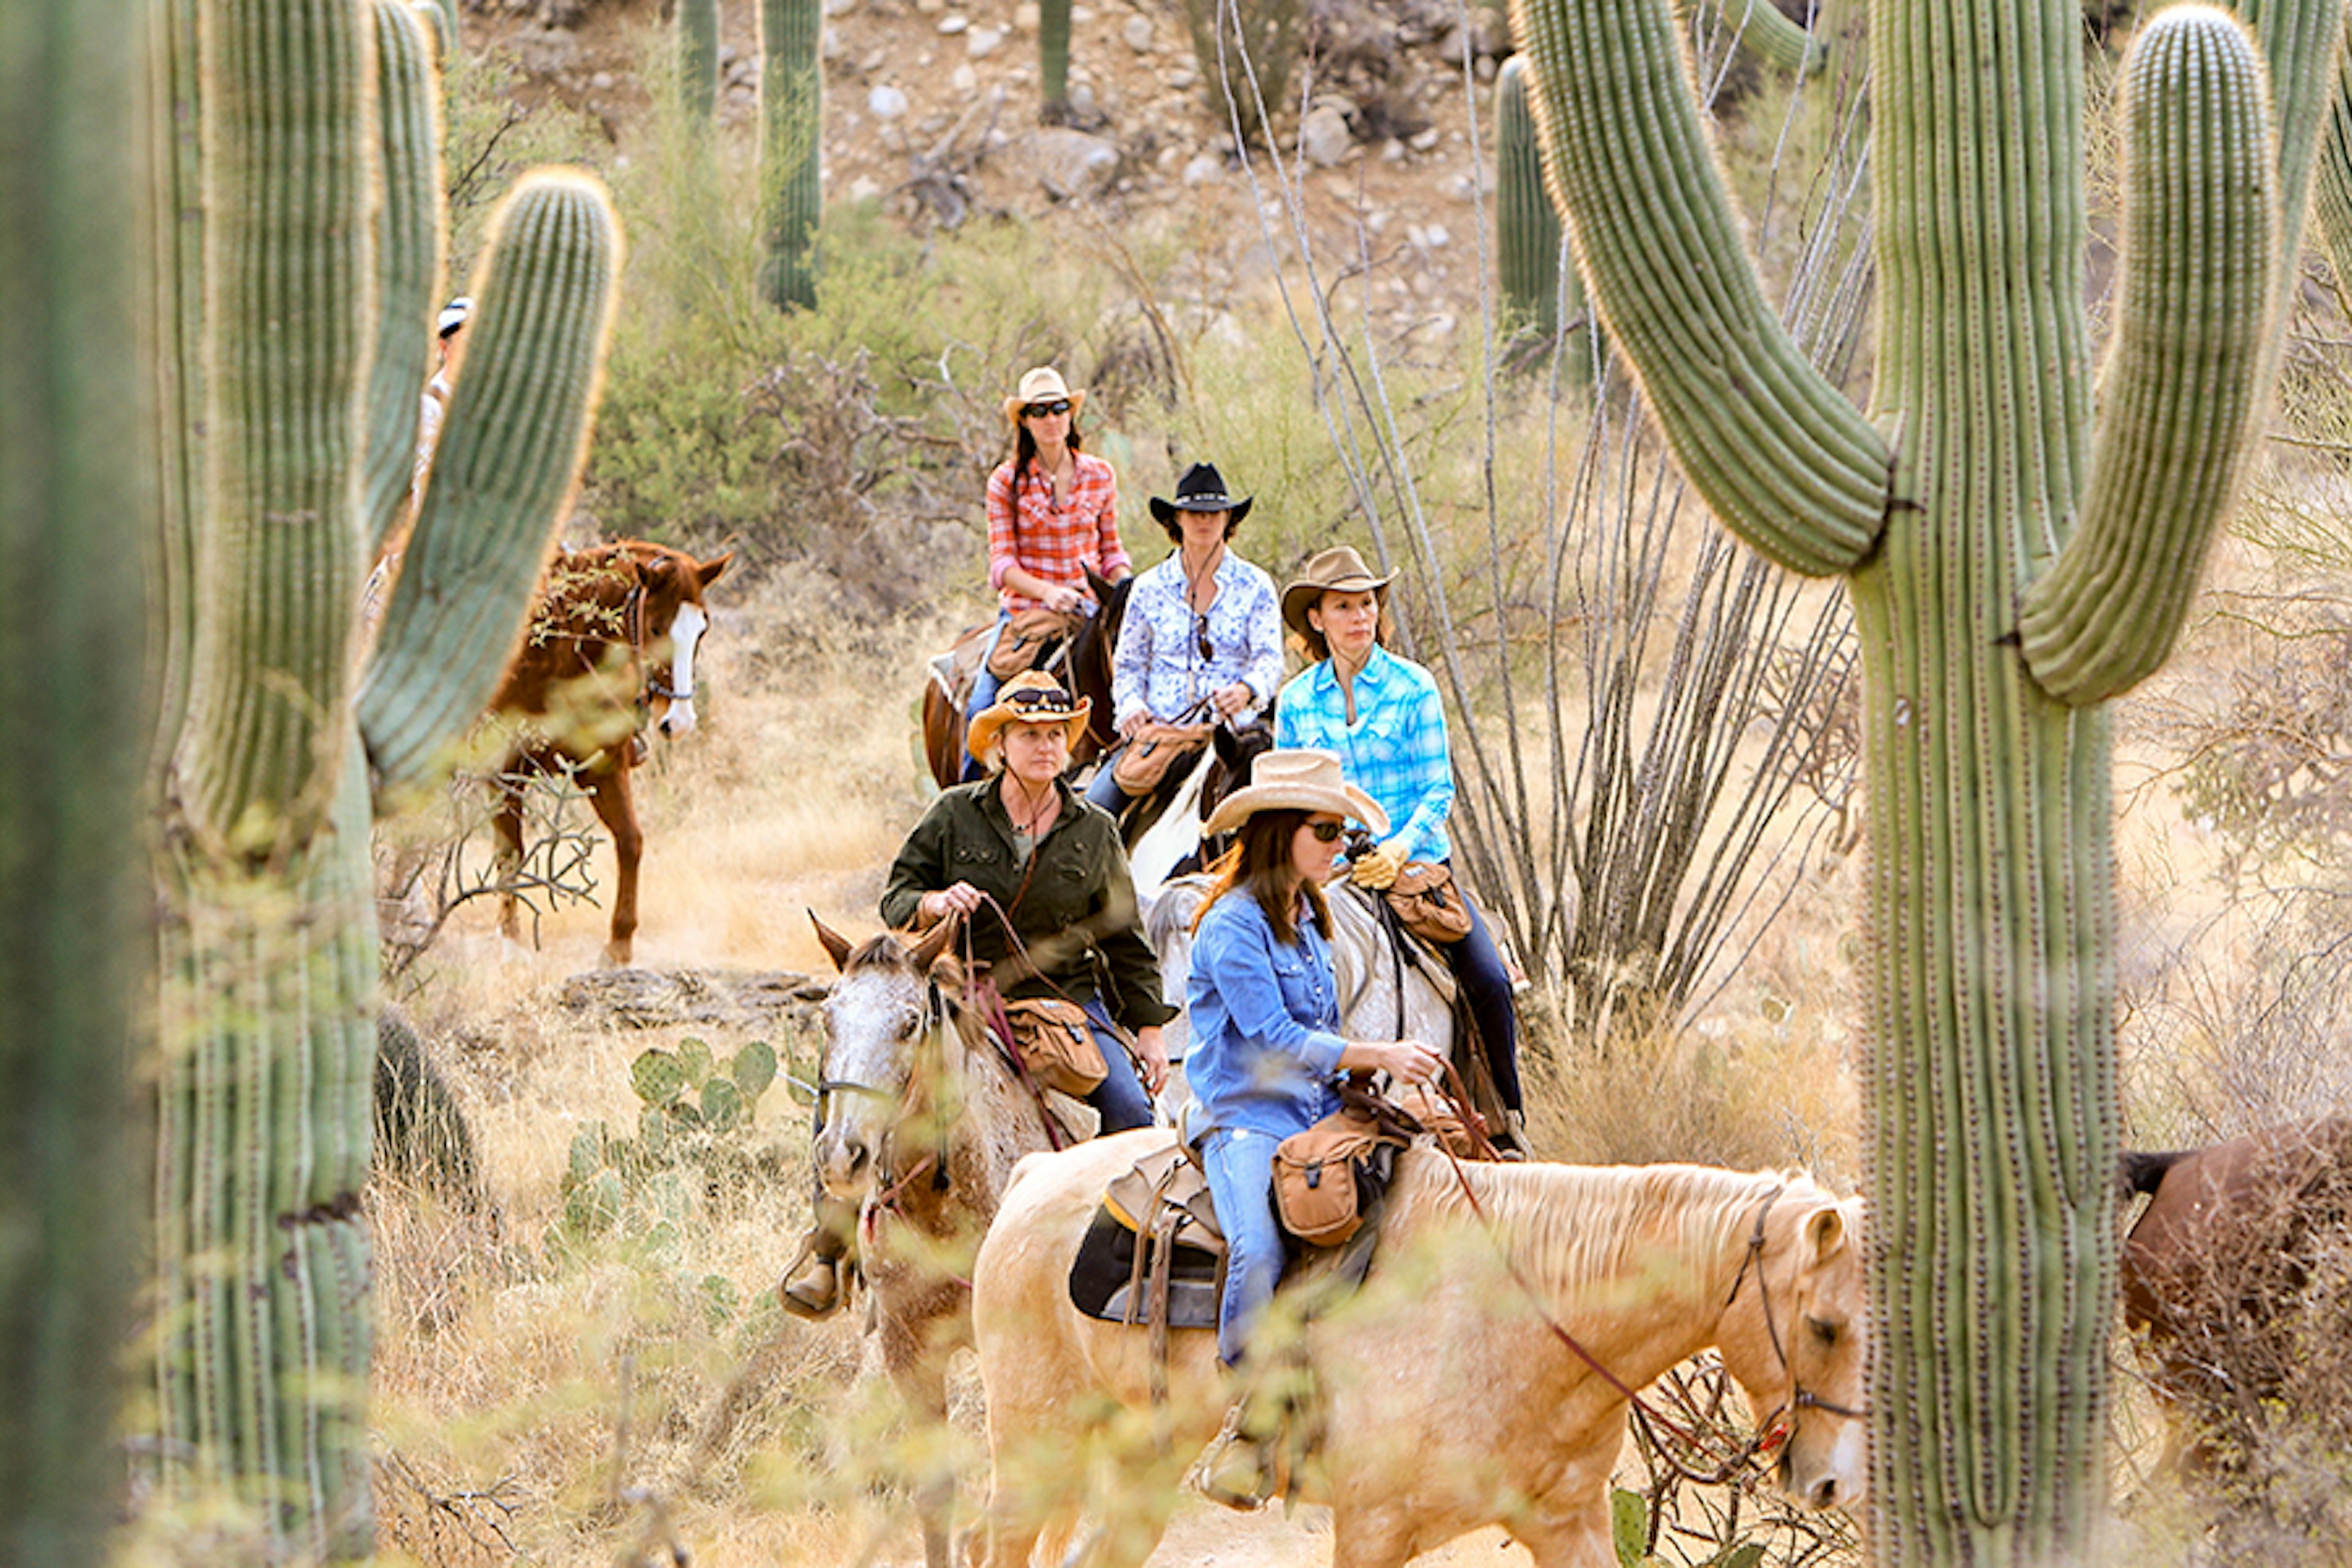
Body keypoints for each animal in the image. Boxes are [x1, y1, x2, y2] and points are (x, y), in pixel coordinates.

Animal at [482, 545, 729, 973]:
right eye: (656, 628)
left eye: (702, 630)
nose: (679, 722)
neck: (552, 653)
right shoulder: (504, 774)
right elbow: (510, 850)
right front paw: (512, 946)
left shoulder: (604, 768)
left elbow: (630, 841)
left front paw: (619, 944)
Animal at [964, 1133, 1863, 1561]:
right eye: (1823, 1324)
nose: (1832, 1483)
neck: (1521, 1310)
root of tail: (1035, 1173)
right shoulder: (1372, 1527)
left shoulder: (1567, 1524)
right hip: (1035, 1444)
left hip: (1144, 1461)